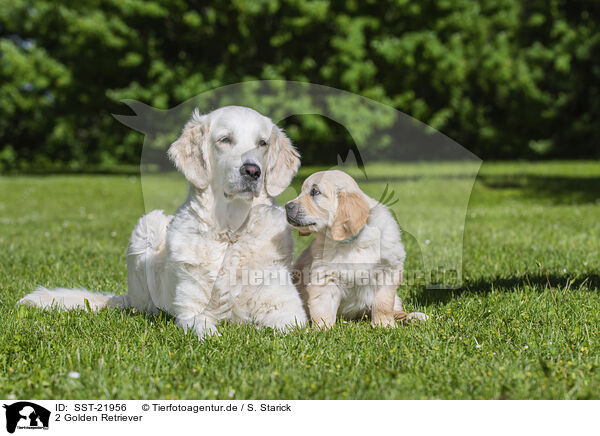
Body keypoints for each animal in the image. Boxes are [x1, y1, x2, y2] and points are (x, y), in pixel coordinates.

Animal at [286, 170, 426, 328]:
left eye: (315, 192)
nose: (287, 206)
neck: (351, 242)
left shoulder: (388, 270)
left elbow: (383, 303)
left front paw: (384, 325)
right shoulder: (325, 277)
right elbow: (322, 308)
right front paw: (322, 329)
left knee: (397, 309)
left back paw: (414, 317)